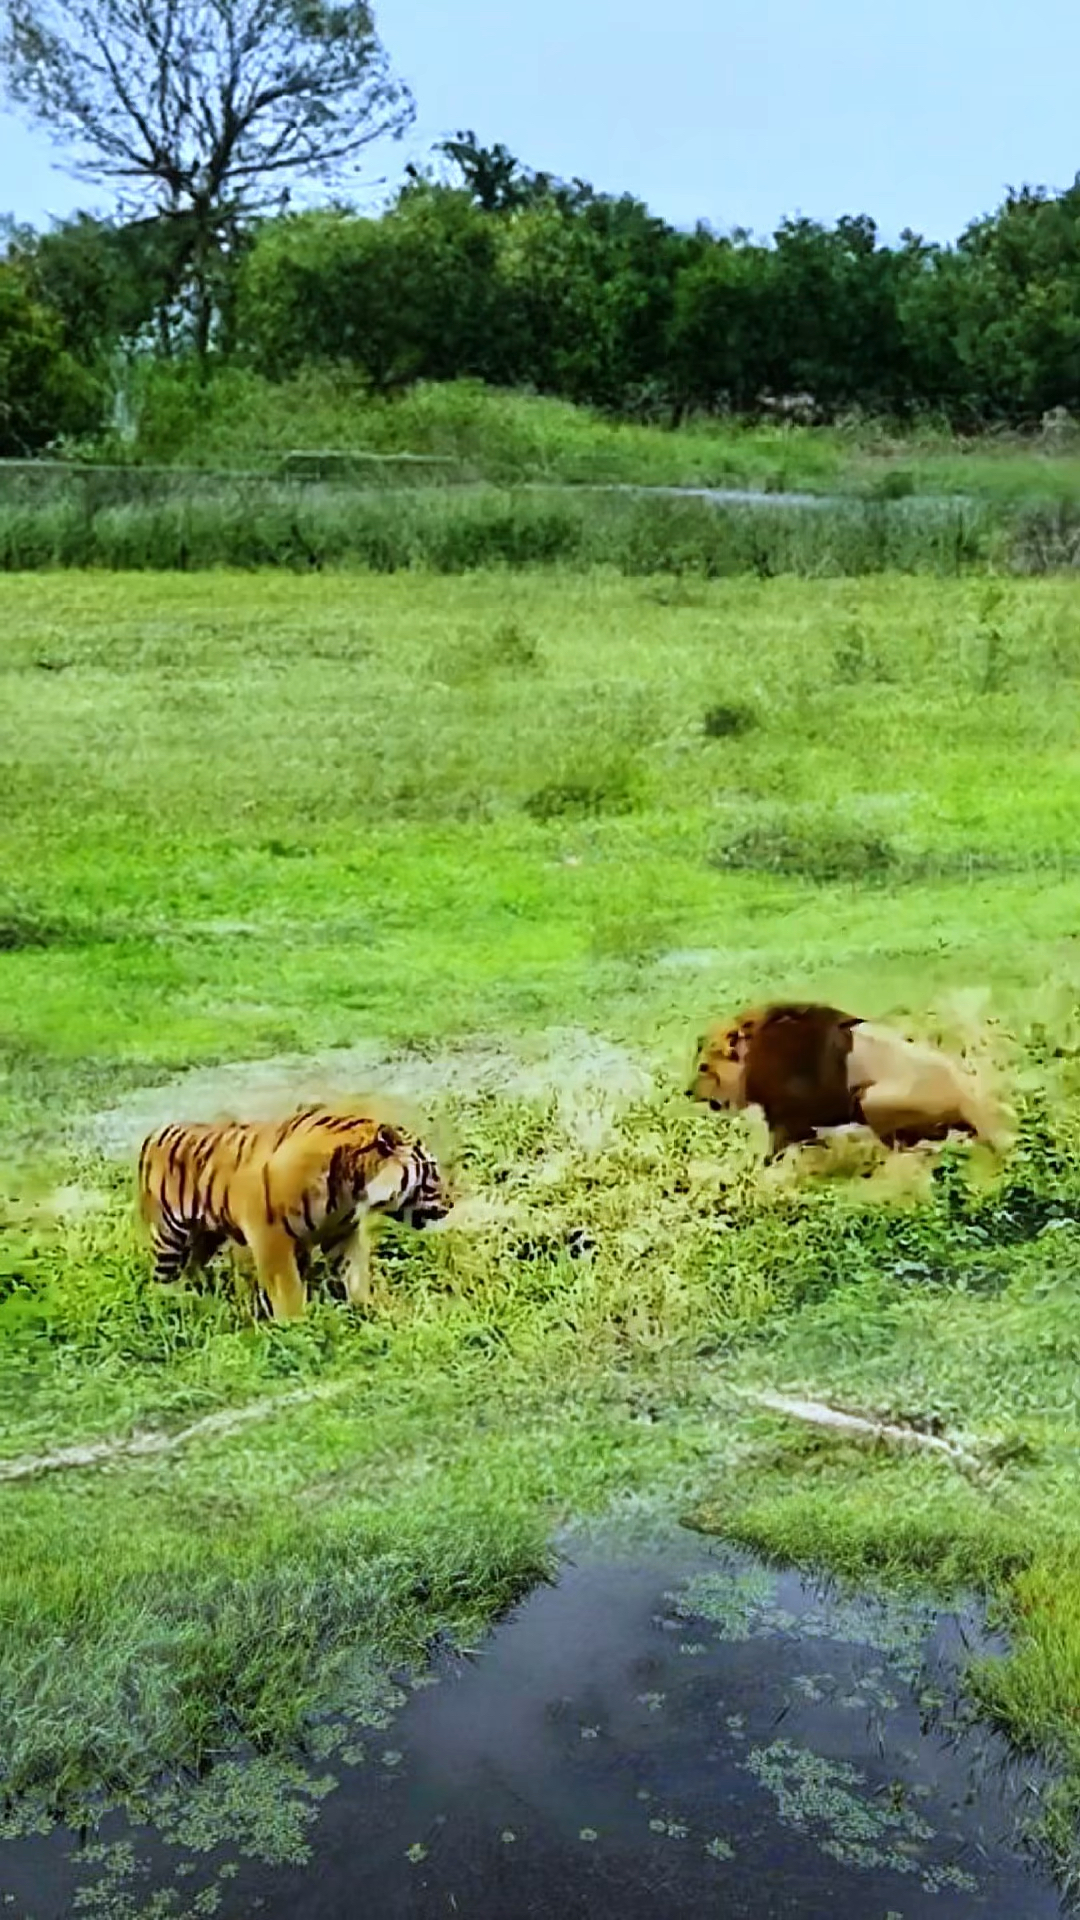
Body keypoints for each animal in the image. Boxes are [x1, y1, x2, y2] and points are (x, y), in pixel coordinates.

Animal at [137, 1113, 449, 1320]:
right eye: (433, 1170)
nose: (450, 1203)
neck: (355, 1188)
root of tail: (154, 1133)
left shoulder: (343, 1232)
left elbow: (356, 1276)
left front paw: (369, 1312)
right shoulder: (271, 1238)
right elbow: (288, 1292)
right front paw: (296, 1328)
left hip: (206, 1236)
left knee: (192, 1268)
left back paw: (199, 1298)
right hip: (168, 1235)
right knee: (161, 1278)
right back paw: (168, 1305)